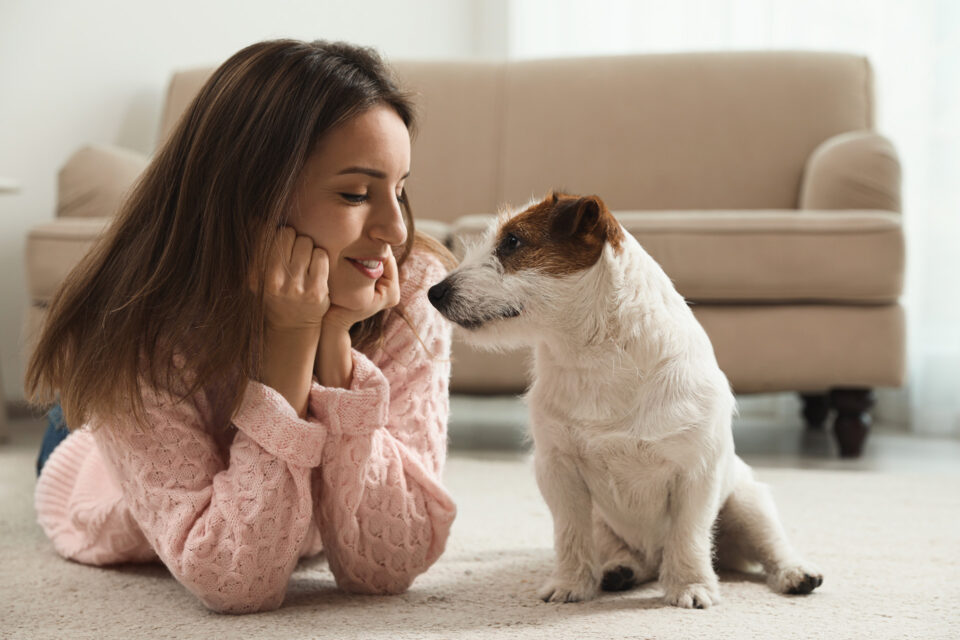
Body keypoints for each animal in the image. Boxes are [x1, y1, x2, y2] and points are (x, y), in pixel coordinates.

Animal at [430, 192, 824, 608]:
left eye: (512, 242)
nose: (433, 293)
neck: (594, 355)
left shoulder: (696, 473)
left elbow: (688, 535)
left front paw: (691, 586)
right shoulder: (558, 472)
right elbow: (570, 534)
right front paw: (570, 584)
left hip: (749, 503)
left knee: (771, 547)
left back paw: (797, 573)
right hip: (604, 521)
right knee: (628, 554)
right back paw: (619, 569)